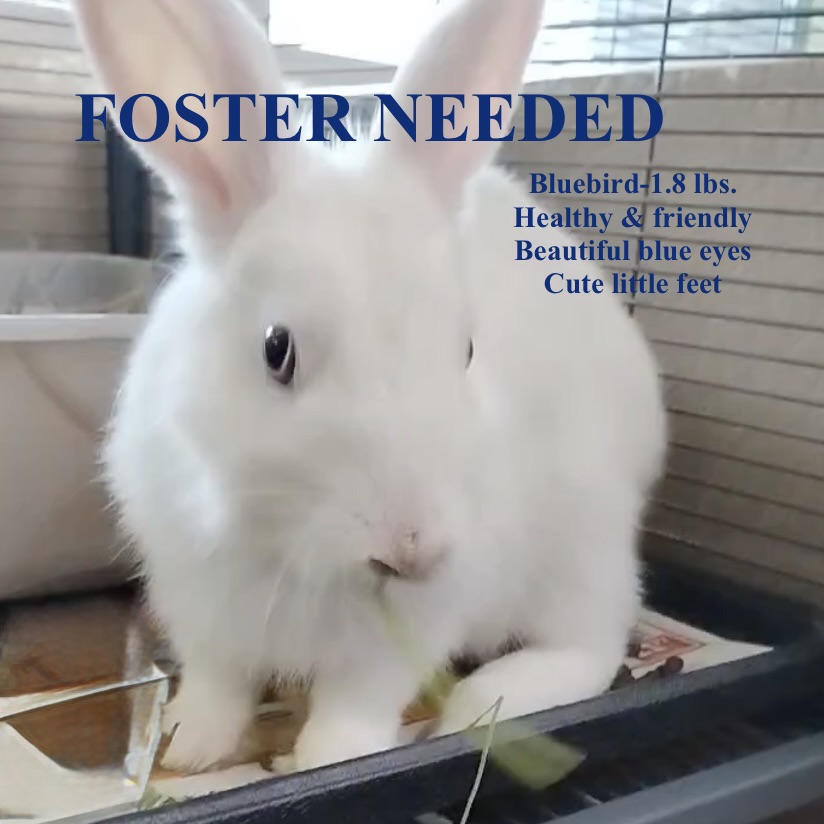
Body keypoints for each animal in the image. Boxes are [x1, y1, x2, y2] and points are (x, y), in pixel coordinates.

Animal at [72, 0, 667, 774]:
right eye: (277, 350)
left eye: (465, 349)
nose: (412, 547)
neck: (296, 549)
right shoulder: (199, 597)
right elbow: (218, 680)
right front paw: (188, 746)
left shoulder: (406, 629)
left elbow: (358, 701)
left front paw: (326, 759)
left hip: (582, 544)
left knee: (592, 643)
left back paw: (483, 703)